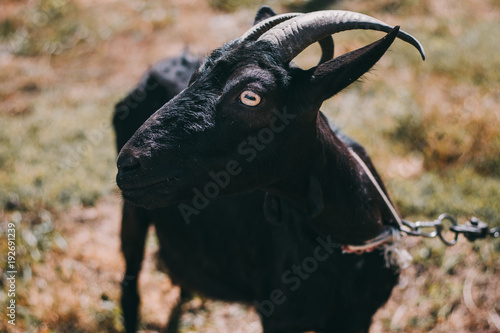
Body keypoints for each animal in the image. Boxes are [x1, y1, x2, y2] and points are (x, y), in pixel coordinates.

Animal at [115, 7, 424, 332]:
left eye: (250, 96)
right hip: (133, 216)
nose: (129, 163)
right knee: (130, 287)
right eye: (195, 77)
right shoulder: (278, 317)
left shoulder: (360, 315)